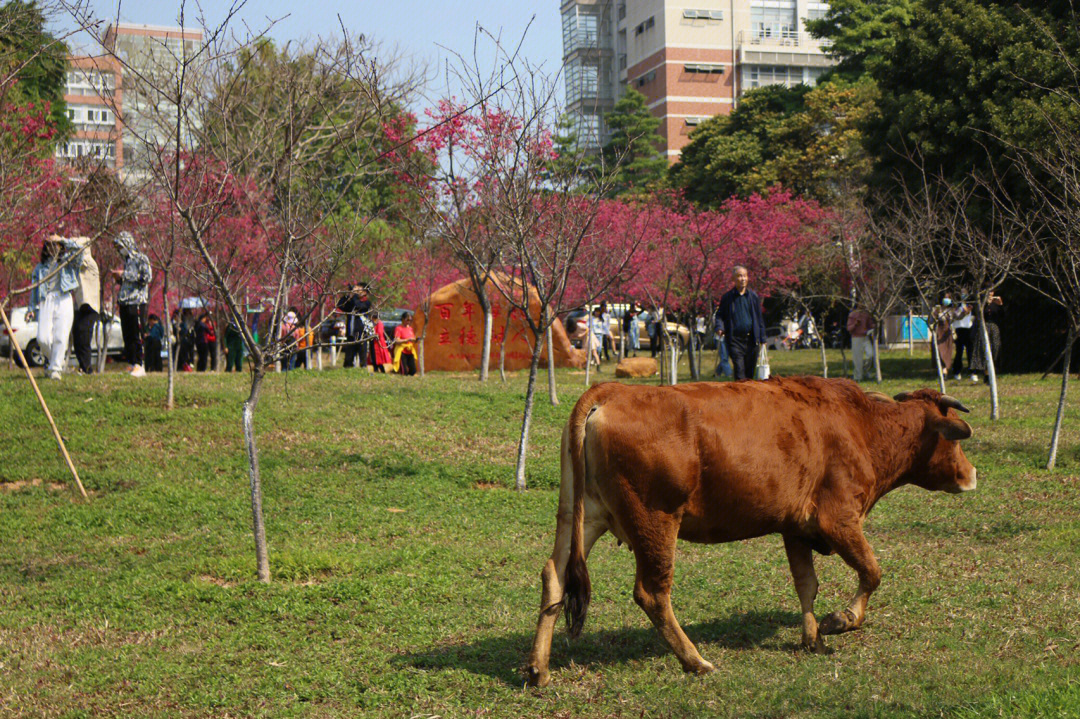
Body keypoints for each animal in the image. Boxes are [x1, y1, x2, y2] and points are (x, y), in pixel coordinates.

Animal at [524, 375, 980, 682]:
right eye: (955, 439)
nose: (972, 474)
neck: (861, 426)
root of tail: (611, 390)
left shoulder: (796, 528)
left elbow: (806, 584)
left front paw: (812, 638)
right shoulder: (839, 519)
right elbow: (871, 572)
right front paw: (841, 620)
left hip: (584, 515)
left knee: (555, 576)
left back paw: (538, 669)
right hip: (655, 520)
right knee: (652, 594)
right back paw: (695, 660)